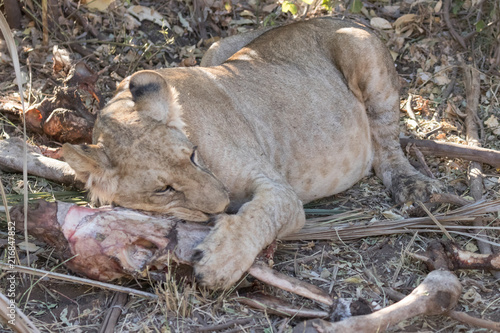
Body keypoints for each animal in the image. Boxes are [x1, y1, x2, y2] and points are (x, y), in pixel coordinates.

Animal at [61, 17, 438, 288]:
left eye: (192, 155)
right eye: (163, 189)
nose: (223, 204)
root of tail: (342, 16)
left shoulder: (281, 191)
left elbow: (263, 213)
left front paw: (219, 262)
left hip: (360, 48)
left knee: (386, 145)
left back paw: (411, 186)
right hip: (217, 48)